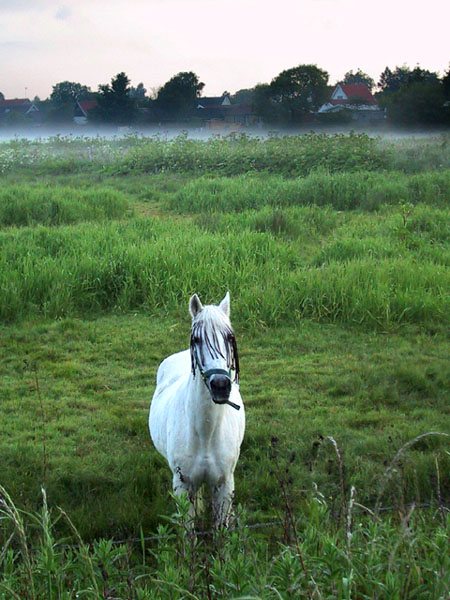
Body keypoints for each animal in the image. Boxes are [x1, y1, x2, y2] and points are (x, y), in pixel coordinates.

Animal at [149, 294, 244, 524]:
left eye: (229, 338)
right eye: (197, 340)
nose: (220, 385)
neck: (206, 434)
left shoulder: (224, 485)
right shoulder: (183, 485)